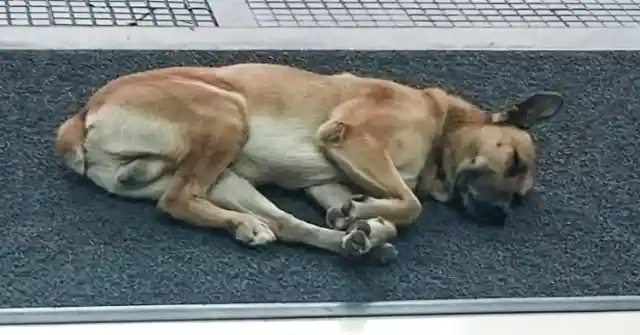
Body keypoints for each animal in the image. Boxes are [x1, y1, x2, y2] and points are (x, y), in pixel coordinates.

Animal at [56, 63, 564, 260]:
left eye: (519, 195)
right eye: (513, 161)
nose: (499, 216)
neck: (440, 123)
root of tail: (80, 119)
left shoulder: (325, 179)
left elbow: (366, 205)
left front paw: (359, 218)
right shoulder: (353, 139)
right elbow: (411, 205)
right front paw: (368, 211)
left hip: (229, 177)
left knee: (284, 225)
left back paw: (354, 241)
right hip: (228, 113)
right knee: (178, 201)